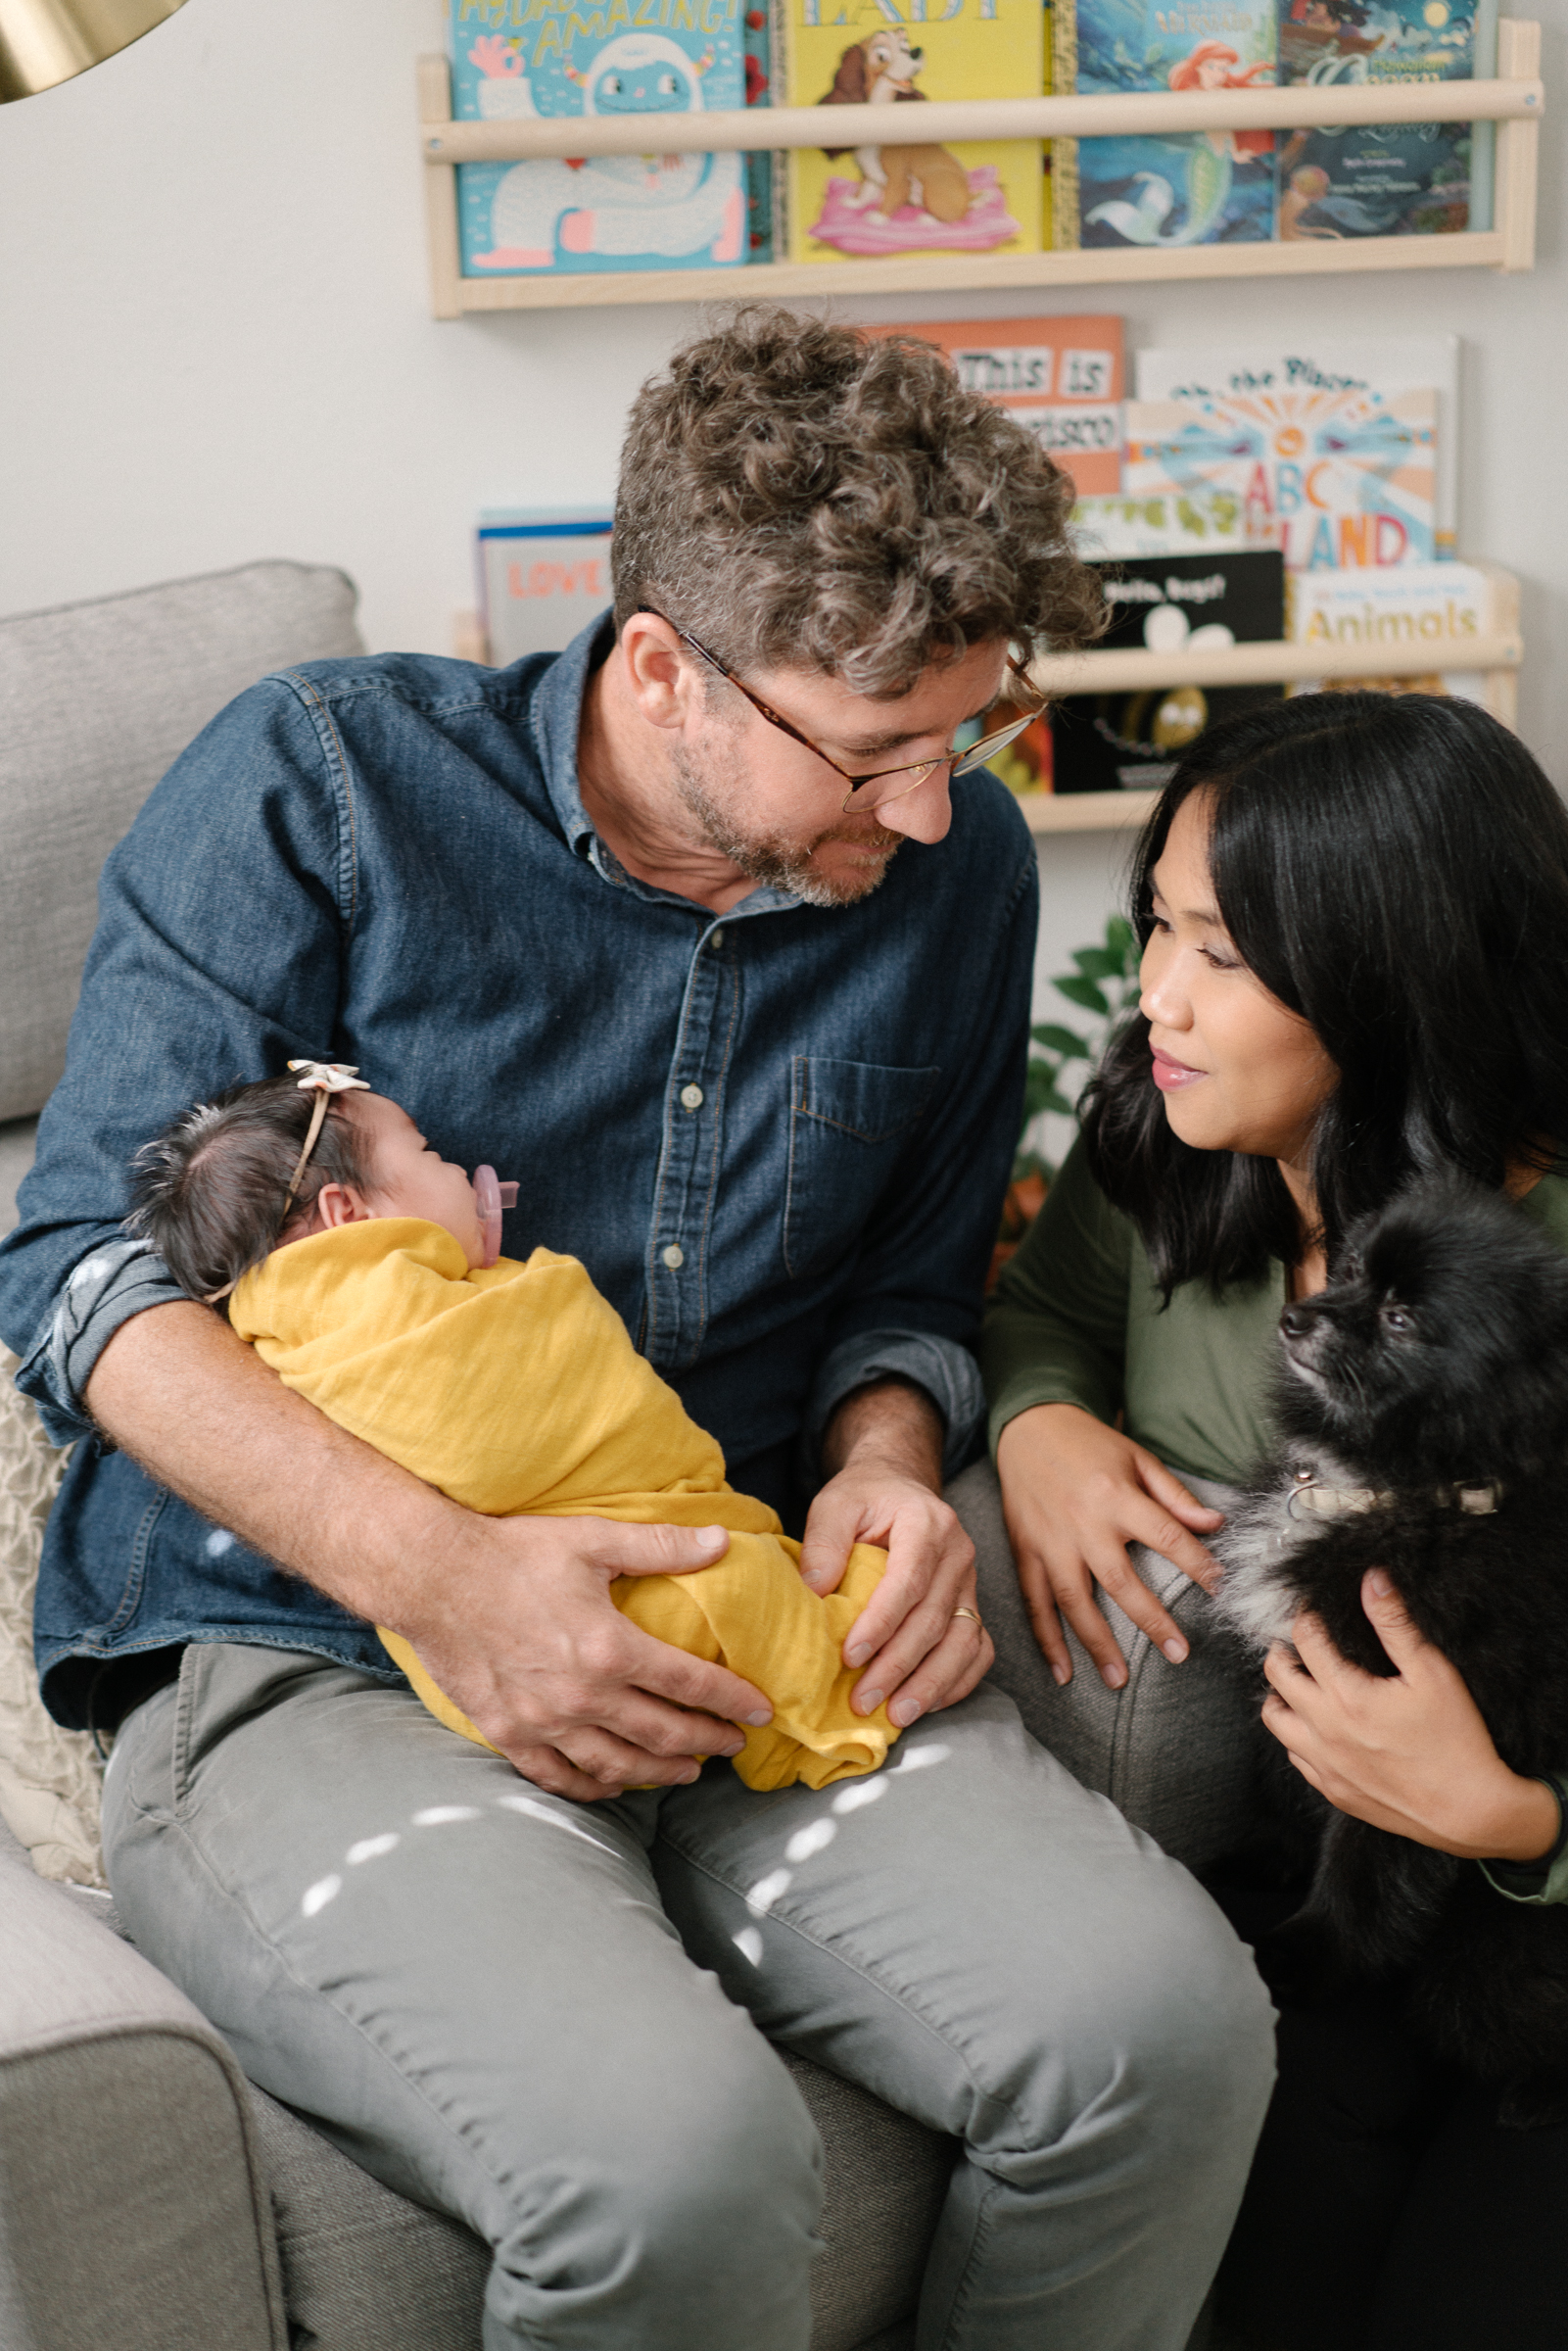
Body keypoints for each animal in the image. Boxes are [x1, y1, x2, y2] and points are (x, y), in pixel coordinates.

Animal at [817, 27, 972, 224]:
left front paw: (878, 217)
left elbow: (891, 196)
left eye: (904, 44)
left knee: (954, 216)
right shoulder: (870, 175)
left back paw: (928, 219)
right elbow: (865, 192)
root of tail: (969, 197)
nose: (915, 51)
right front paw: (854, 202)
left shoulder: (898, 178)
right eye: (882, 55)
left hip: (937, 182)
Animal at [1213, 1177, 1568, 2127]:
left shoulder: (1403, 1735)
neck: (1395, 1492)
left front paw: (1308, 1953)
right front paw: (1271, 1851)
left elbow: (1365, 1865)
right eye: (1349, 1272)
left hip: (1483, 1968)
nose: (1296, 1315)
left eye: (1401, 1318)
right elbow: (1286, 1782)